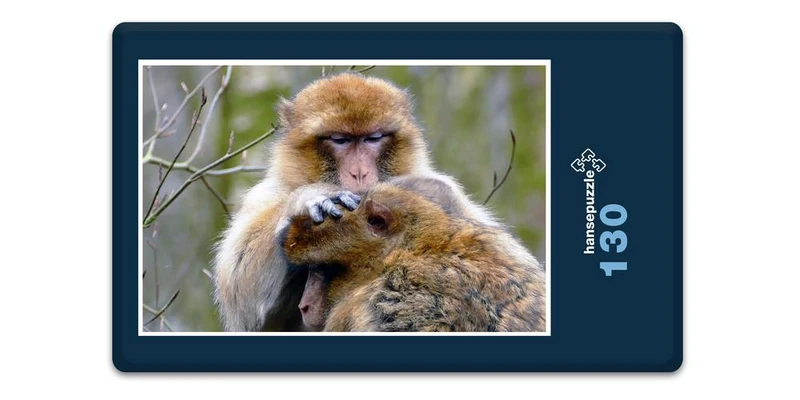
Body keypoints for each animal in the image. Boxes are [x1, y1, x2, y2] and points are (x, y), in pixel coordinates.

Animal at [212, 72, 503, 332]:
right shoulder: (264, 196)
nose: (359, 172)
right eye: (340, 140)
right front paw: (310, 197)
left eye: (372, 138)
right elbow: (240, 296)